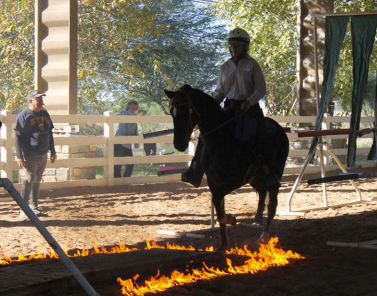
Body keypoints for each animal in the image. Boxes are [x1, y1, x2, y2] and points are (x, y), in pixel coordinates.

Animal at [164, 84, 288, 250]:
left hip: (276, 172)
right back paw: (258, 218)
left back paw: (264, 236)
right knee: (262, 193)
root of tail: (279, 128)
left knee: (272, 204)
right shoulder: (214, 182)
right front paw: (223, 244)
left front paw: (230, 220)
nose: (179, 144)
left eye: (185, 111)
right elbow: (218, 207)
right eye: (172, 112)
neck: (222, 140)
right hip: (256, 177)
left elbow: (218, 202)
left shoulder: (235, 181)